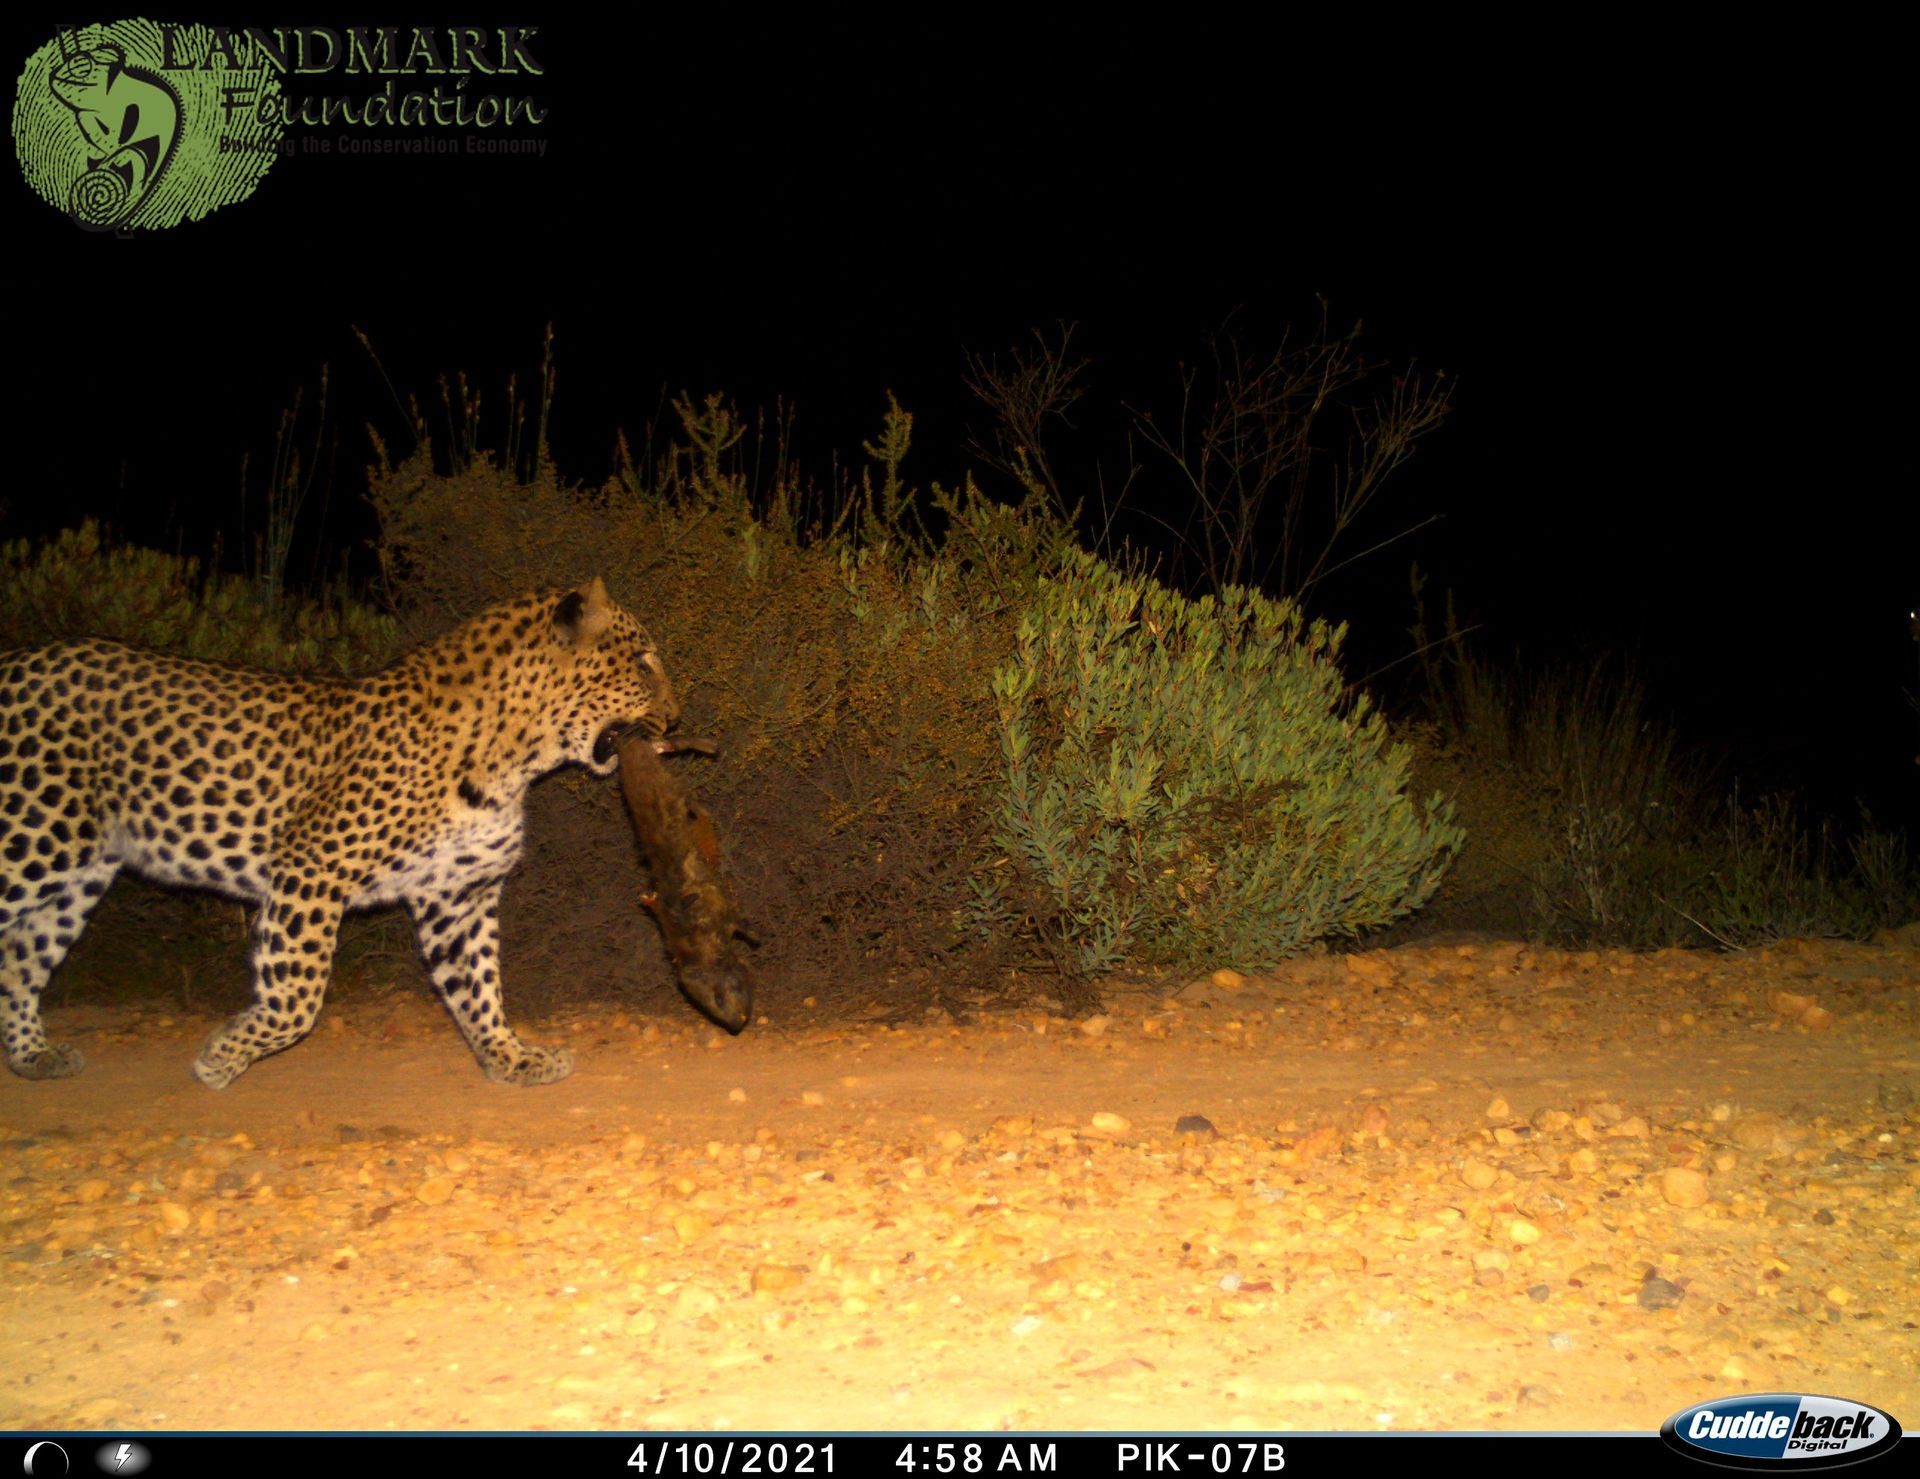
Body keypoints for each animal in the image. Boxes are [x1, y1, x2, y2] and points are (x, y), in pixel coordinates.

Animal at [0, 577, 686, 1089]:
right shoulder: (310, 871)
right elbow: (297, 997)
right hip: (31, 839)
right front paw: (220, 1056)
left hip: (77, 877)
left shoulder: (457, 896)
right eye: (643, 663)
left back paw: (34, 1057)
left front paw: (511, 1058)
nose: (677, 720)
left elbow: (479, 985)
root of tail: (19, 658)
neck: (513, 760)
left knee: (20, 961)